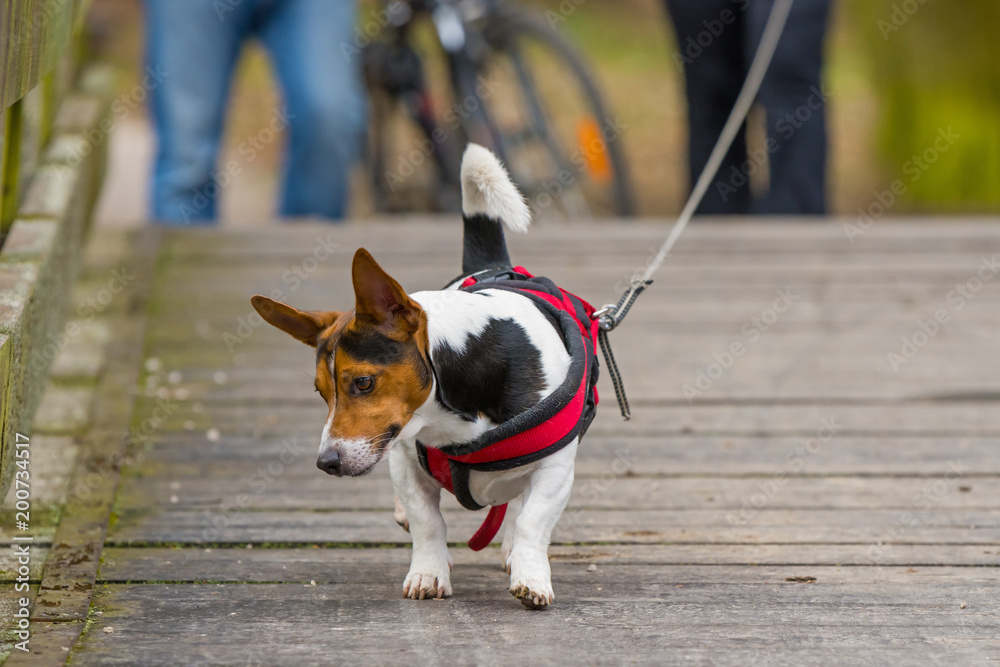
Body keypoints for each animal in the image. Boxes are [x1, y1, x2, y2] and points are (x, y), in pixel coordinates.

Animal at [254, 146, 596, 612]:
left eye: (363, 383)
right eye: (322, 394)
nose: (327, 463)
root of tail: (496, 268)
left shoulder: (555, 468)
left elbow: (532, 518)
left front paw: (531, 576)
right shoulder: (402, 457)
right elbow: (427, 520)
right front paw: (428, 573)